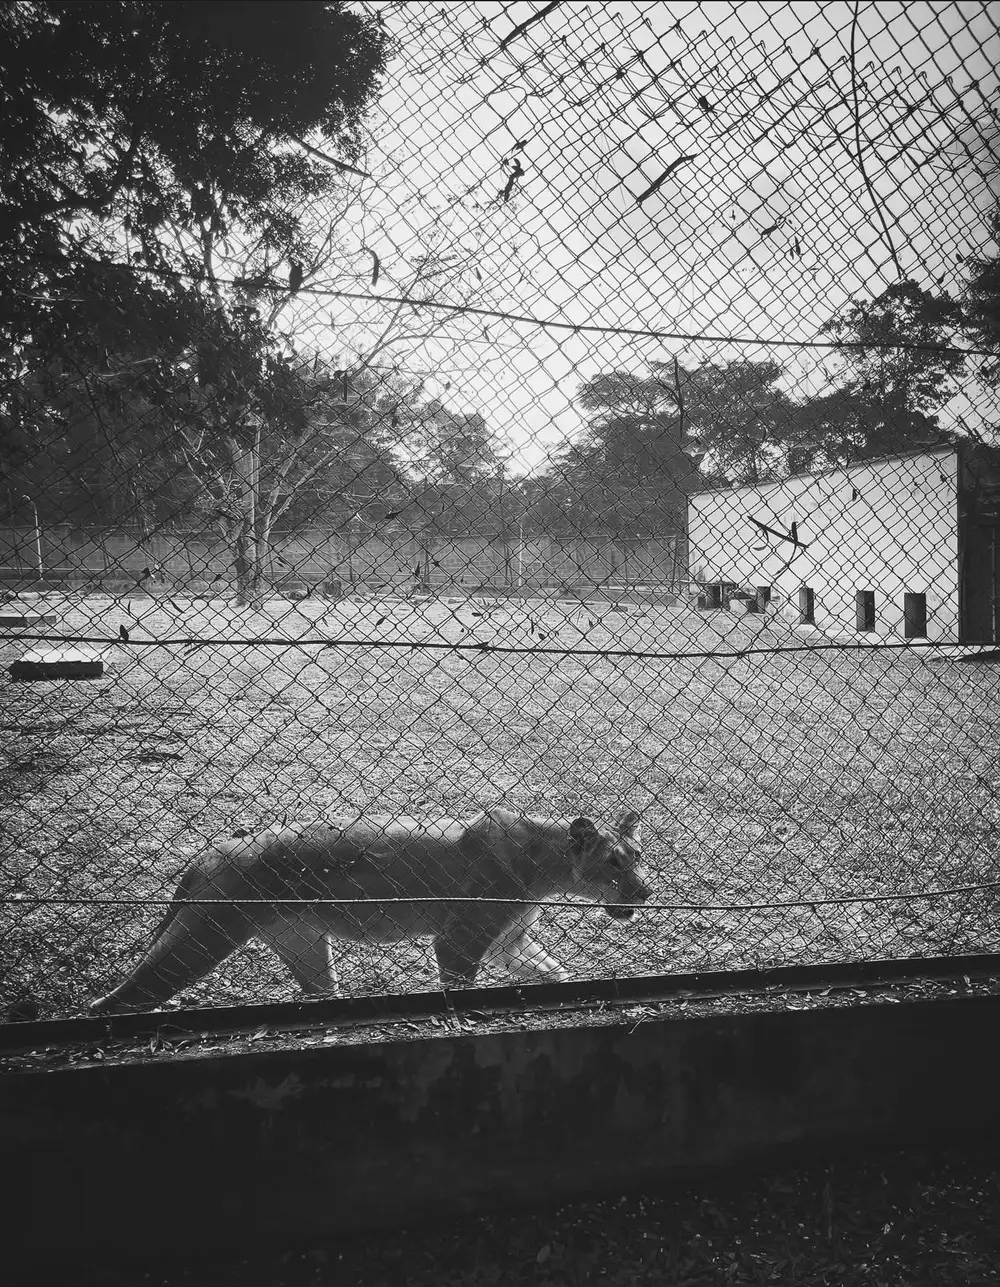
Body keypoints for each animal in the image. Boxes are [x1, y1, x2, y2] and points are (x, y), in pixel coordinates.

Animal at [89, 807, 650, 1014]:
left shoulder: (509, 943)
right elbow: (457, 984)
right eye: (613, 864)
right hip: (205, 936)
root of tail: (211, 851)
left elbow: (554, 971)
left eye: (639, 856)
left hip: (303, 944)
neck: (543, 865)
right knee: (124, 996)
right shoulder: (459, 940)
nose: (645, 893)